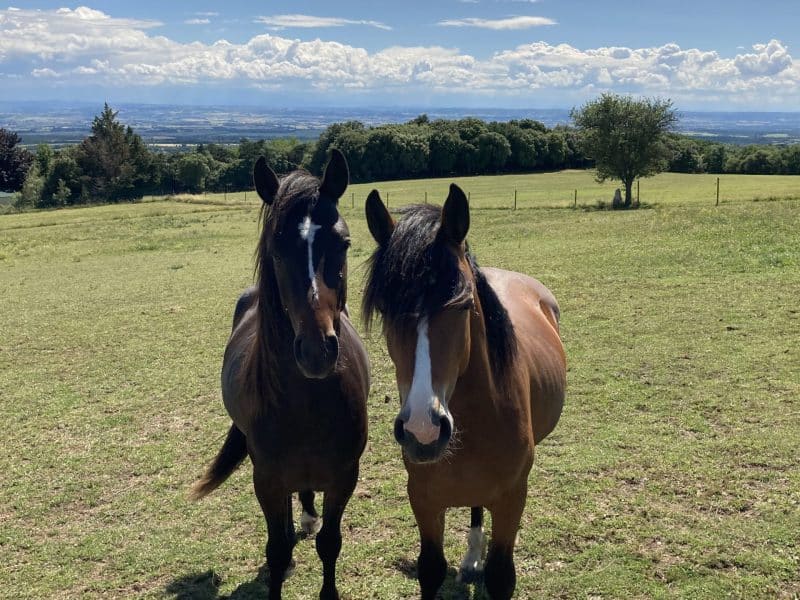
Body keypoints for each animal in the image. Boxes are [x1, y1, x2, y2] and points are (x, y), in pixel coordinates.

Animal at [190, 150, 369, 600]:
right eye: (276, 248)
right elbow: (275, 548)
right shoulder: (267, 478)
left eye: (342, 244)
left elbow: (330, 542)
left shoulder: (344, 475)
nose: (316, 351)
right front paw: (282, 562)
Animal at [362, 184, 566, 599]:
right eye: (386, 309)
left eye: (464, 304)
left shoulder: (511, 499)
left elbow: (501, 575)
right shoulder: (423, 498)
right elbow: (430, 569)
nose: (422, 430)